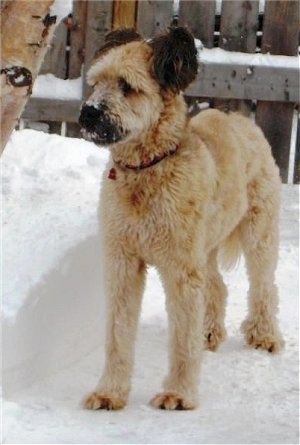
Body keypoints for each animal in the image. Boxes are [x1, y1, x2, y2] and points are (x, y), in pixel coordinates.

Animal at [78, 26, 284, 410]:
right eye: (96, 82)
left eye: (127, 85)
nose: (88, 113)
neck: (147, 170)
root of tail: (242, 120)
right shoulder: (122, 261)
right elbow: (117, 333)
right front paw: (109, 392)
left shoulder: (180, 268)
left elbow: (182, 337)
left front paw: (178, 393)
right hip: (205, 245)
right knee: (217, 286)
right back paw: (210, 332)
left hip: (258, 231)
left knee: (264, 285)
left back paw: (265, 336)